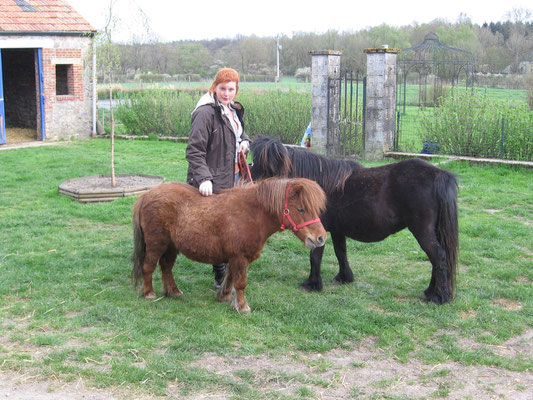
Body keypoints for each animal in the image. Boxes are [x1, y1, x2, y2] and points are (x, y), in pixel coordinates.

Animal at [131, 178, 326, 312]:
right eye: (301, 209)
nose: (321, 238)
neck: (252, 213)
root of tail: (146, 195)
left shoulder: (235, 258)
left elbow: (231, 278)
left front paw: (224, 297)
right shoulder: (240, 257)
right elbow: (240, 282)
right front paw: (242, 306)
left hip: (172, 246)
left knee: (166, 267)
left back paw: (173, 291)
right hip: (156, 244)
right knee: (148, 266)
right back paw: (149, 293)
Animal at [249, 136, 458, 304]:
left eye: (265, 166)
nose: (250, 185)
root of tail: (439, 174)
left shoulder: (318, 230)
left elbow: (315, 256)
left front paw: (312, 284)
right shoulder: (337, 230)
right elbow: (341, 252)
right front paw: (344, 277)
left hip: (422, 230)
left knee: (439, 257)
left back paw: (439, 297)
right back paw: (430, 292)